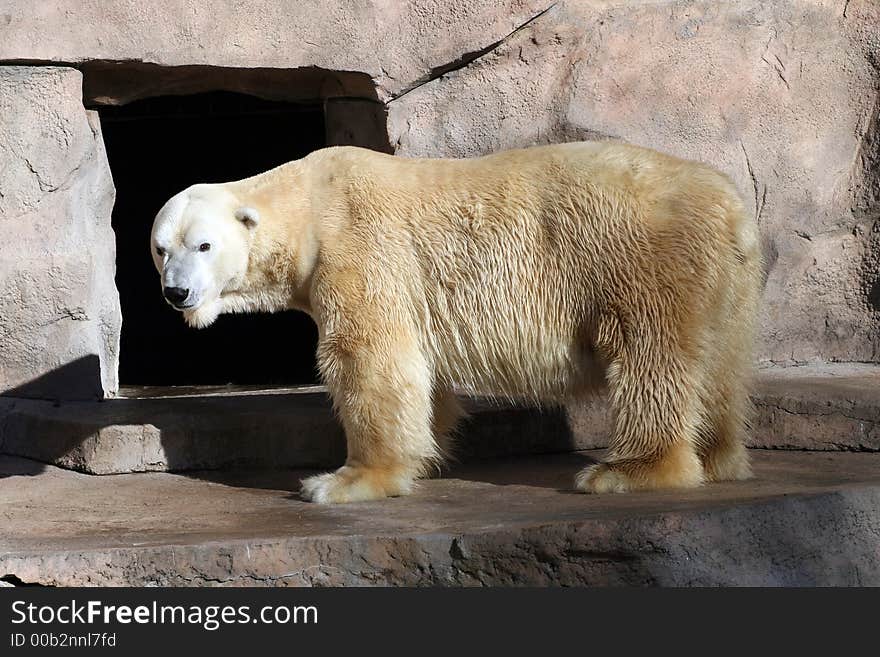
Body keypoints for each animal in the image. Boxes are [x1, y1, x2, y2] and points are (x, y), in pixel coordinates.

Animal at [151, 142, 764, 502]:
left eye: (204, 245)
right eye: (161, 248)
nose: (177, 293)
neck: (309, 202)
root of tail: (730, 208)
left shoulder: (358, 248)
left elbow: (368, 356)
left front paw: (344, 481)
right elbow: (421, 374)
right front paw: (426, 453)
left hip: (637, 256)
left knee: (649, 355)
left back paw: (627, 471)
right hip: (727, 283)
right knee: (720, 365)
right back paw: (720, 456)